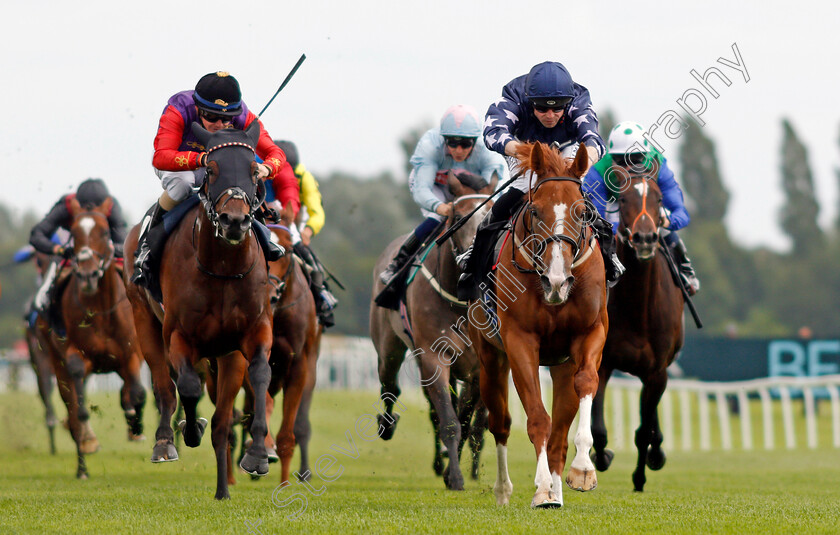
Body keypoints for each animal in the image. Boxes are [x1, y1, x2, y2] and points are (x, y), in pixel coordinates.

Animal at [42, 198, 147, 482]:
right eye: (74, 233)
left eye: (103, 231)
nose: (88, 275)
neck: (99, 310)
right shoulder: (75, 357)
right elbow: (79, 412)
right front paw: (86, 452)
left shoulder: (131, 355)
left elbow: (137, 394)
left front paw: (135, 424)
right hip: (57, 364)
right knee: (72, 410)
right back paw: (83, 458)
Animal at [123, 120, 274, 498]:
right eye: (212, 168)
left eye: (254, 170)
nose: (234, 221)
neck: (222, 267)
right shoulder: (179, 335)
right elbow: (187, 387)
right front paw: (190, 429)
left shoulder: (251, 333)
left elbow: (260, 375)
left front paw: (257, 454)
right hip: (144, 319)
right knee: (165, 385)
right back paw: (166, 442)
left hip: (225, 354)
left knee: (222, 419)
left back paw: (223, 490)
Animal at [370, 175, 496, 490]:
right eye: (459, 217)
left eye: (492, 214)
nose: (474, 256)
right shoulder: (433, 355)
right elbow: (448, 420)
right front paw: (455, 476)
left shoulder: (477, 367)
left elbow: (463, 418)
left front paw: (455, 468)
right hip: (389, 346)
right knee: (391, 386)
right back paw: (387, 425)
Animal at [470, 141, 608, 506]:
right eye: (534, 211)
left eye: (582, 212)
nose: (556, 281)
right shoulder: (519, 341)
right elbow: (536, 418)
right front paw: (543, 489)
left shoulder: (590, 333)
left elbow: (587, 382)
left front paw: (583, 469)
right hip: (489, 358)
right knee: (501, 423)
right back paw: (504, 489)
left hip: (561, 364)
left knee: (559, 433)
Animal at [588, 165, 684, 492]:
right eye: (623, 198)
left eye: (659, 198)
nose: (644, 238)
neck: (639, 308)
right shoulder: (603, 363)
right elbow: (598, 429)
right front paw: (602, 456)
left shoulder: (657, 370)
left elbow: (643, 431)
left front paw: (640, 477)